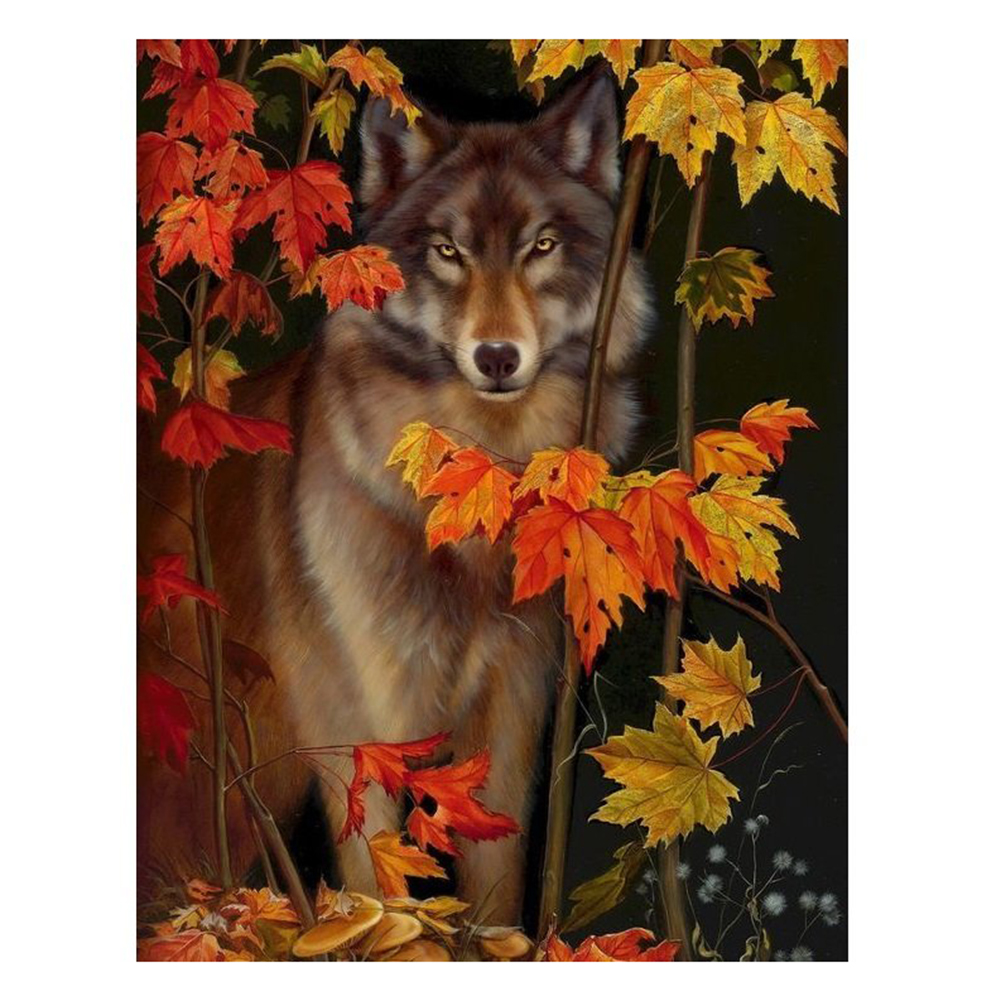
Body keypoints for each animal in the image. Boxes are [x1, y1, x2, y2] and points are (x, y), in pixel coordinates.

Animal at [138, 70, 654, 925]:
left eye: (540, 246)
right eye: (447, 252)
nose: (496, 356)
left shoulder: (511, 718)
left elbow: (495, 885)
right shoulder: (357, 723)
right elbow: (383, 884)